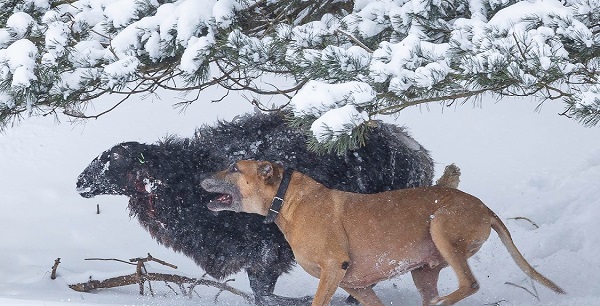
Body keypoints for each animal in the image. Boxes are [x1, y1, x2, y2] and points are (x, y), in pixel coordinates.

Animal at [76, 111, 432, 304]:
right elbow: (261, 293)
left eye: (115, 159)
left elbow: (263, 293)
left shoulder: (266, 246)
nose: (80, 182)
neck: (182, 179)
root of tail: (414, 151)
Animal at [200, 160, 564, 306]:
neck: (287, 198)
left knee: (469, 284)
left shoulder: (333, 268)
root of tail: (485, 208)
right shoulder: (355, 285)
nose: (200, 178)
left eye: (234, 168)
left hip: (442, 227)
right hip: (424, 271)